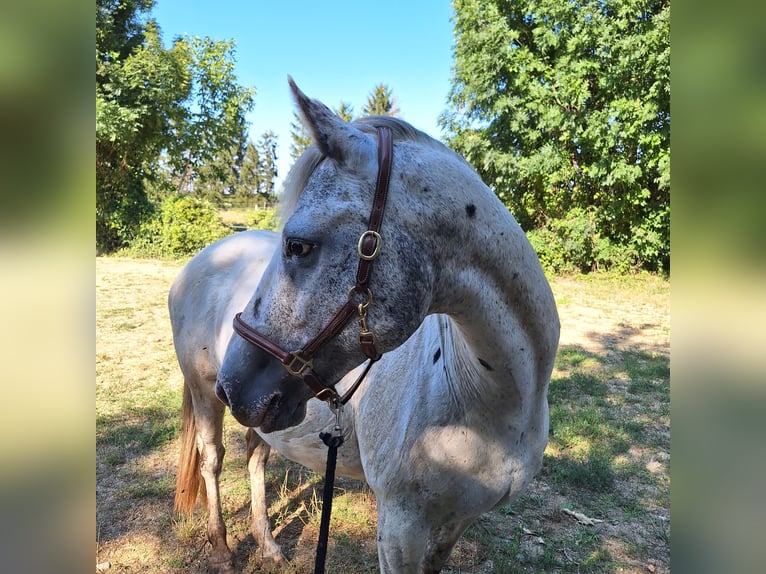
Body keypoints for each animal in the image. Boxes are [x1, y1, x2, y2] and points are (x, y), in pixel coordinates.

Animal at [171, 80, 560, 574]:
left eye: (298, 245)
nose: (233, 385)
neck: (491, 404)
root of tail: (204, 257)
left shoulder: (454, 524)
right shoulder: (398, 528)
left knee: (256, 456)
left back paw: (269, 545)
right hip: (204, 395)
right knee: (213, 461)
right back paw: (222, 549)